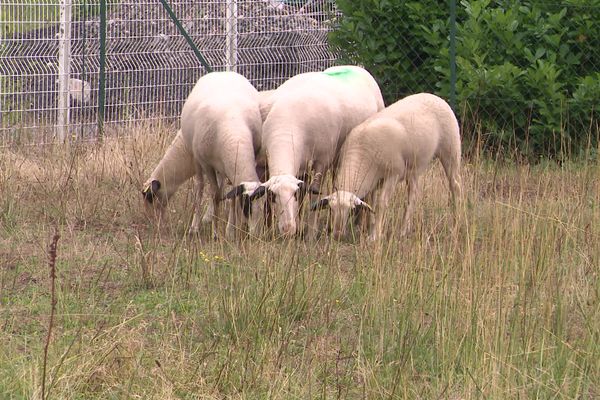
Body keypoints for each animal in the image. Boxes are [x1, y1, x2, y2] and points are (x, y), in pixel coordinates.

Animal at [143, 71, 264, 238]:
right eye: (247, 207)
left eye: (150, 198)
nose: (151, 220)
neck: (235, 134)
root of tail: (222, 72)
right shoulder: (205, 163)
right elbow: (215, 194)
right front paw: (215, 232)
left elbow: (230, 196)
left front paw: (229, 231)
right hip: (200, 160)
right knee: (200, 187)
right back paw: (195, 226)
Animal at [250, 65, 384, 238]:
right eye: (274, 196)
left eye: (293, 194)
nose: (288, 230)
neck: (286, 127)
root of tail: (356, 67)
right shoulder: (264, 163)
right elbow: (264, 198)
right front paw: (267, 230)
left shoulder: (321, 162)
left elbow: (314, 195)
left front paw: (310, 235)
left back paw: (361, 224)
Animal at [312, 91, 462, 241]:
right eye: (330, 209)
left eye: (351, 210)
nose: (337, 235)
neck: (361, 151)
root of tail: (433, 96)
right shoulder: (373, 179)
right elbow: (371, 201)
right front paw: (370, 226)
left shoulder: (393, 174)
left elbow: (381, 203)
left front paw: (375, 235)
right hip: (414, 167)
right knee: (413, 195)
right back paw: (404, 230)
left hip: (450, 149)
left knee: (455, 185)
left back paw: (456, 223)